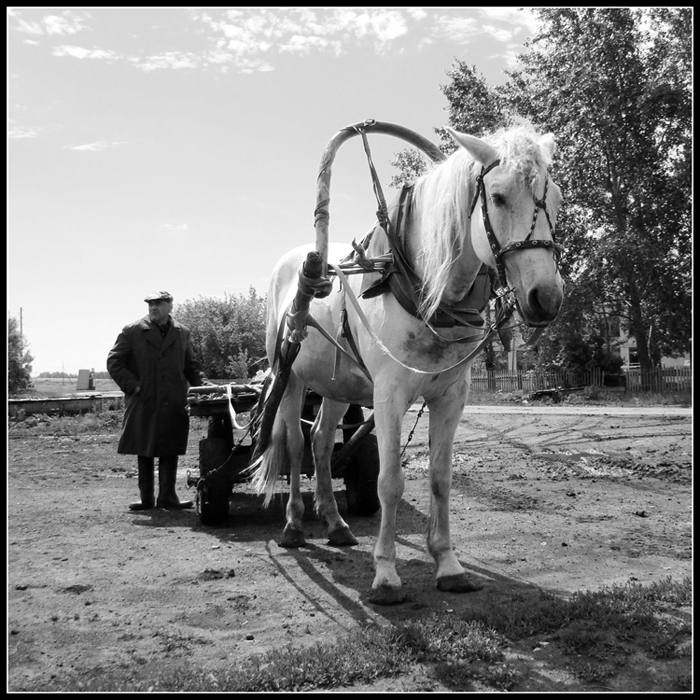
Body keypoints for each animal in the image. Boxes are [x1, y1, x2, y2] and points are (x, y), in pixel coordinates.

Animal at [252, 123, 564, 604]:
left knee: (321, 442)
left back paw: (336, 523)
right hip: (290, 378)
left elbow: (440, 478)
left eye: (559, 199)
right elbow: (390, 483)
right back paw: (293, 525)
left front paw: (449, 565)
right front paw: (386, 574)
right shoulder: (388, 397)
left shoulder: (451, 397)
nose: (546, 298)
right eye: (497, 196)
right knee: (296, 444)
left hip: (337, 387)